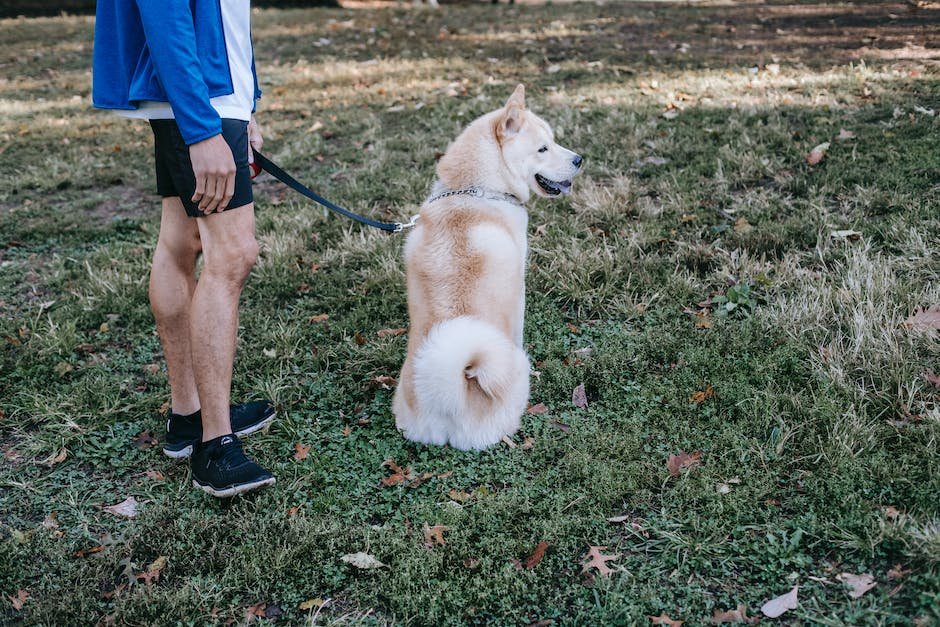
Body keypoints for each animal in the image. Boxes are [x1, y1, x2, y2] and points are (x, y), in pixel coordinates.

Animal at [392, 84, 584, 452]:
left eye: (553, 141)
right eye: (543, 148)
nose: (580, 160)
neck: (476, 190)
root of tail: (450, 397)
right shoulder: (519, 290)